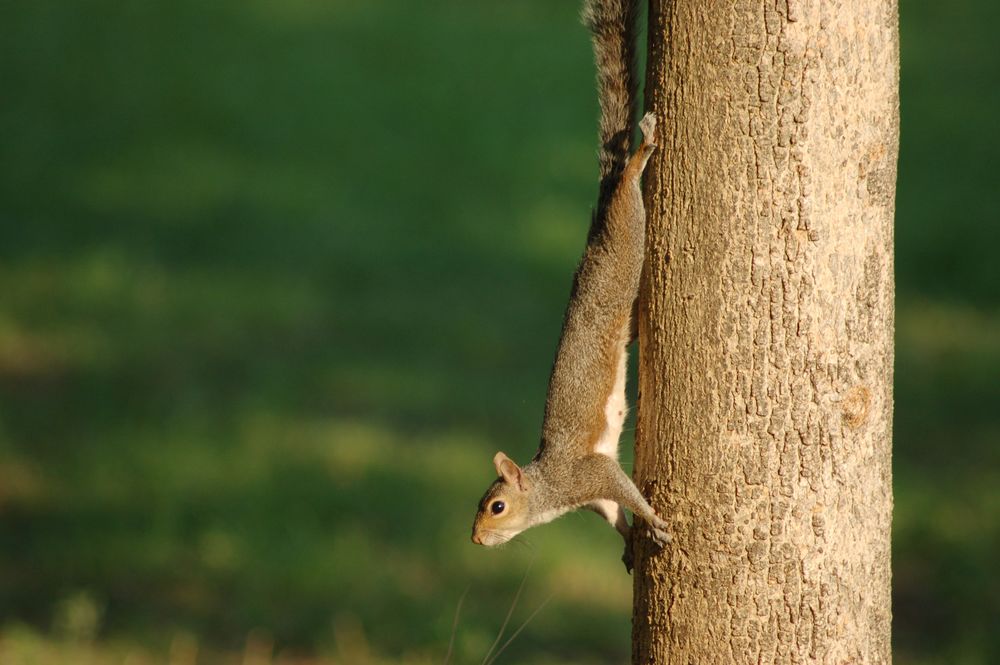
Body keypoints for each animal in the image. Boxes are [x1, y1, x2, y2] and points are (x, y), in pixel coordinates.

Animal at [470, 0, 672, 572]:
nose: (475, 540)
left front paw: (654, 521)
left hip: (624, 253)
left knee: (628, 189)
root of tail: (593, 240)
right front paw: (628, 542)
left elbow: (625, 492)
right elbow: (612, 513)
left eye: (496, 506)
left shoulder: (588, 474)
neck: (547, 488)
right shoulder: (594, 499)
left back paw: (642, 151)